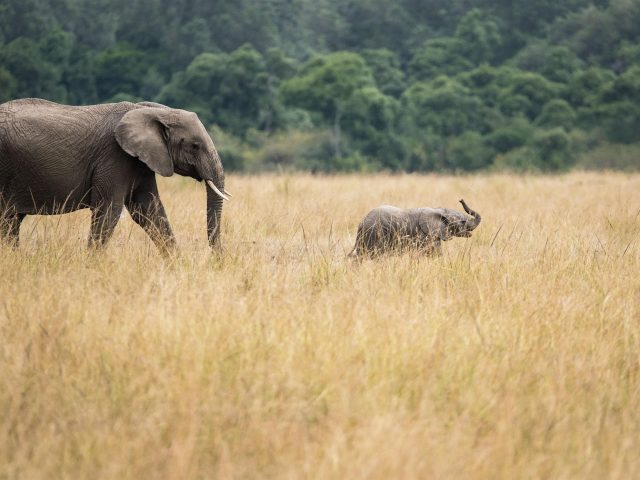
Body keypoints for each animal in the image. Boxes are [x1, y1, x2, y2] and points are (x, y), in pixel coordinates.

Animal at [0, 99, 230, 253]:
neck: (151, 110)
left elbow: (149, 211)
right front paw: (91, 265)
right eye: (195, 146)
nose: (216, 260)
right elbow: (109, 210)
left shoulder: (140, 161)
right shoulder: (114, 156)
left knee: (11, 221)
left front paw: (177, 265)